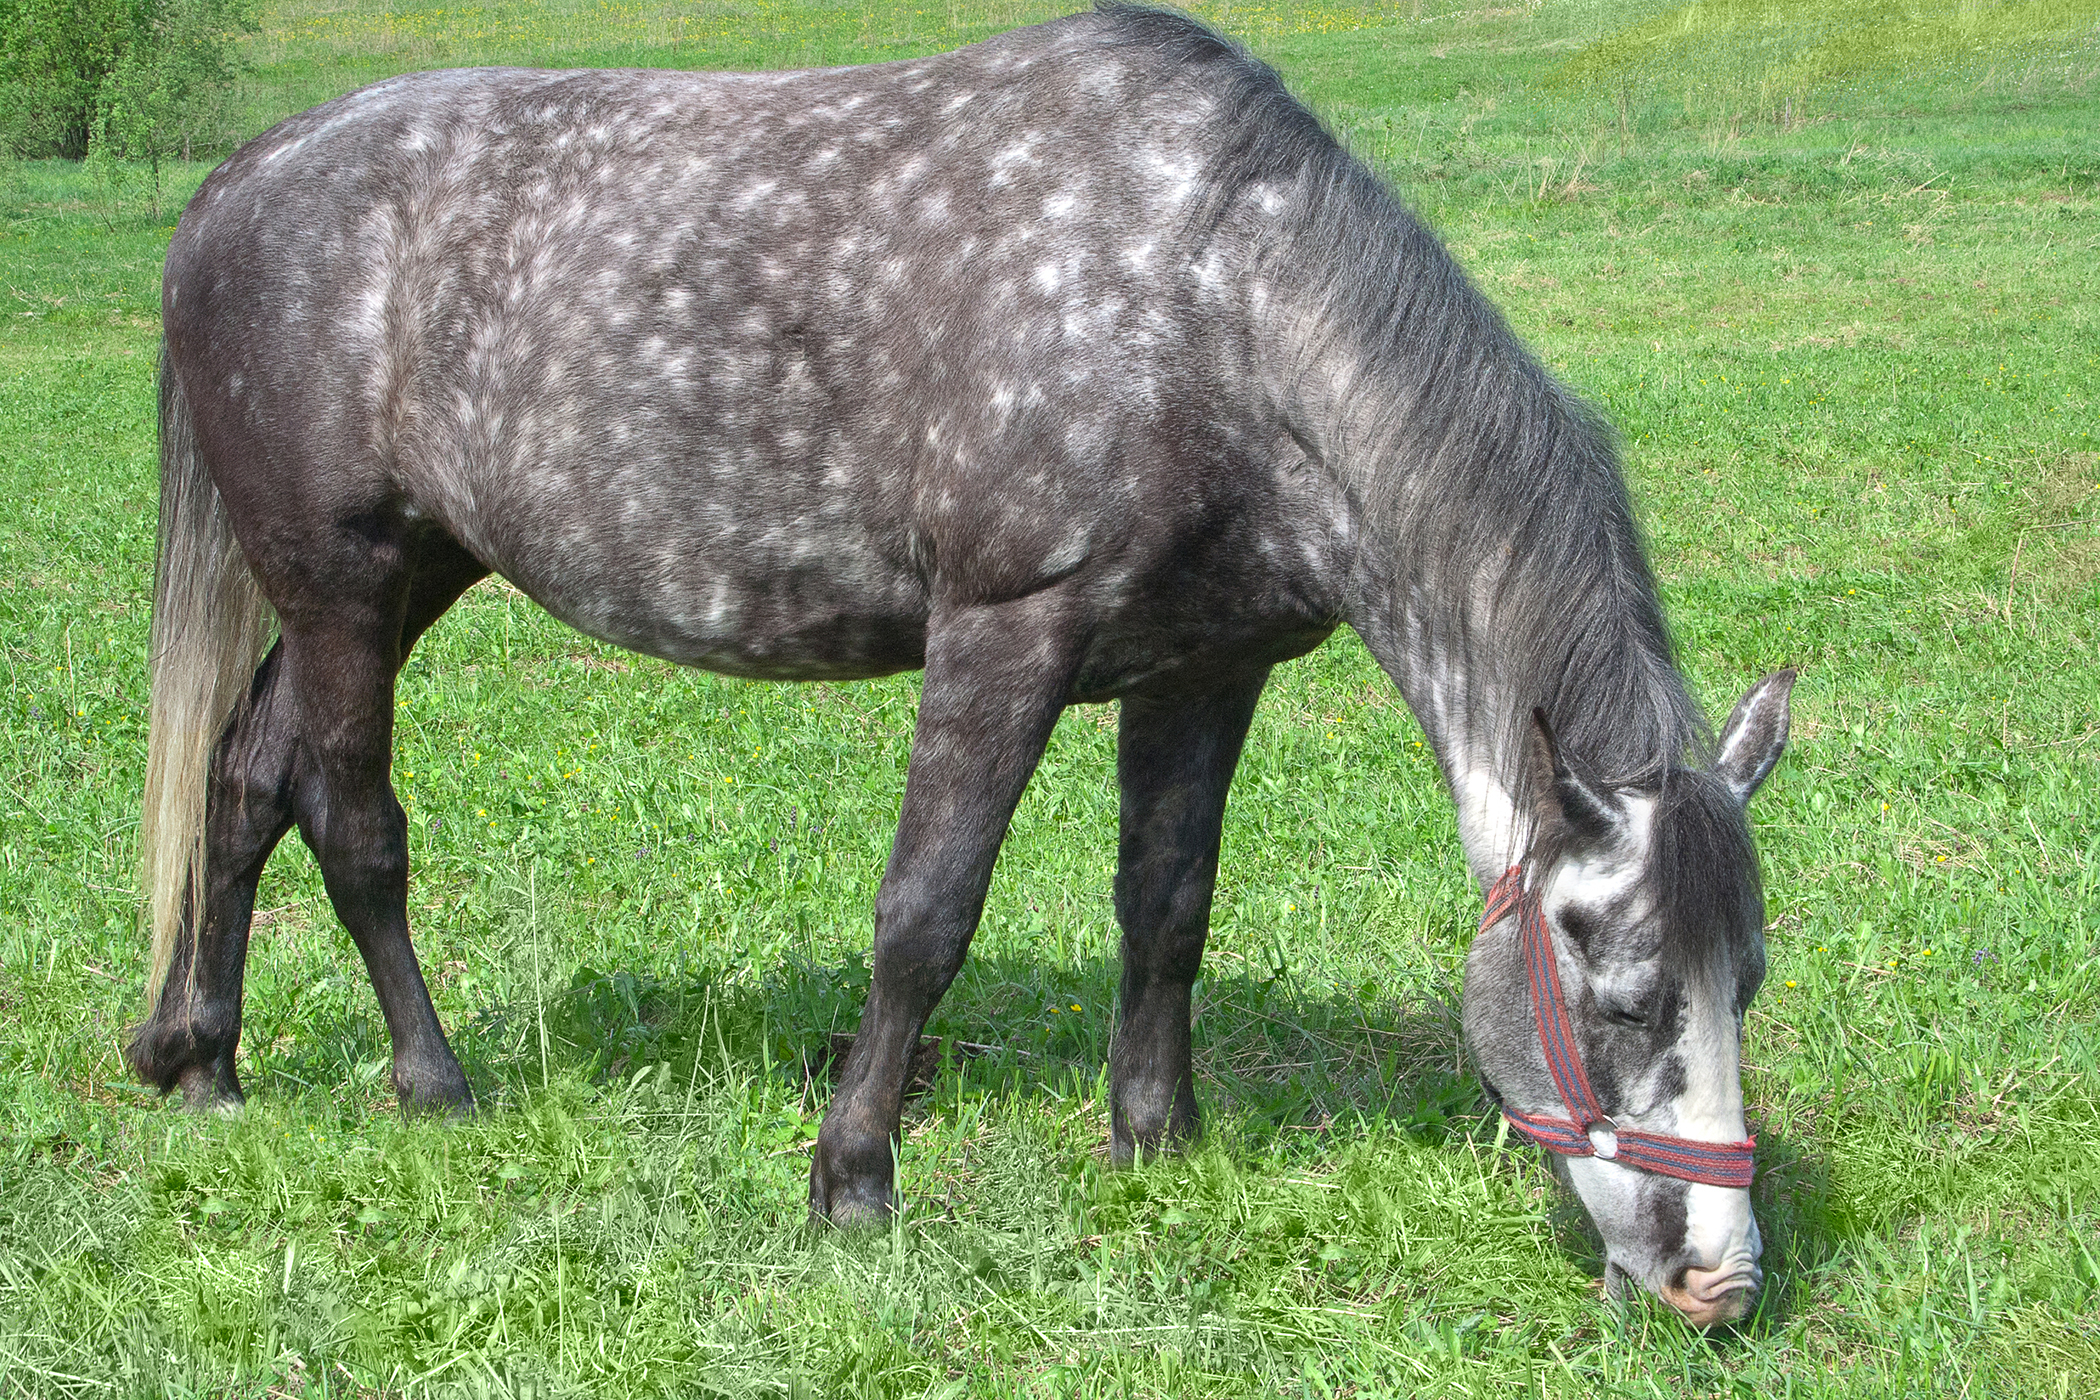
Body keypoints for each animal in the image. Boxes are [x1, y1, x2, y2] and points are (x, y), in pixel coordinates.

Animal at [130, 4, 1793, 1325]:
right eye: (1621, 997)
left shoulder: (1204, 673)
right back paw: (433, 1089)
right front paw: (852, 1181)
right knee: (353, 822)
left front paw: (1156, 1140)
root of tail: (236, 183)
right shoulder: (1002, 633)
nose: (1720, 1282)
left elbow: (1168, 908)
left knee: (247, 780)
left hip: (405, 575)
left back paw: (203, 1062)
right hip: (341, 584)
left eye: (1749, 984)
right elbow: (925, 917)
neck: (1210, 302)